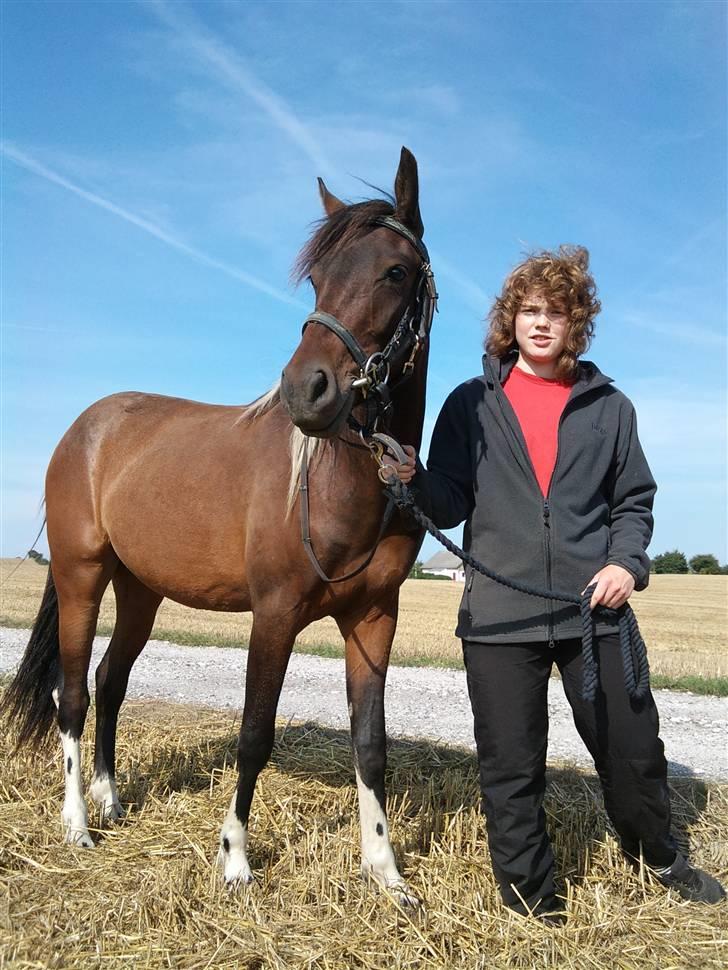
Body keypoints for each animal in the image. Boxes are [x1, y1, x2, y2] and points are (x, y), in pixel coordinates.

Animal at [2, 147, 436, 904]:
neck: (338, 481)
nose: (305, 391)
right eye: (318, 277)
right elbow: (254, 734)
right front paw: (235, 858)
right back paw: (78, 823)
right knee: (73, 693)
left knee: (111, 681)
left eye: (395, 271)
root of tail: (85, 428)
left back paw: (112, 801)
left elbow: (371, 743)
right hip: (82, 577)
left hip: (140, 589)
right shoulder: (276, 614)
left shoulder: (375, 618)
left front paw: (386, 871)